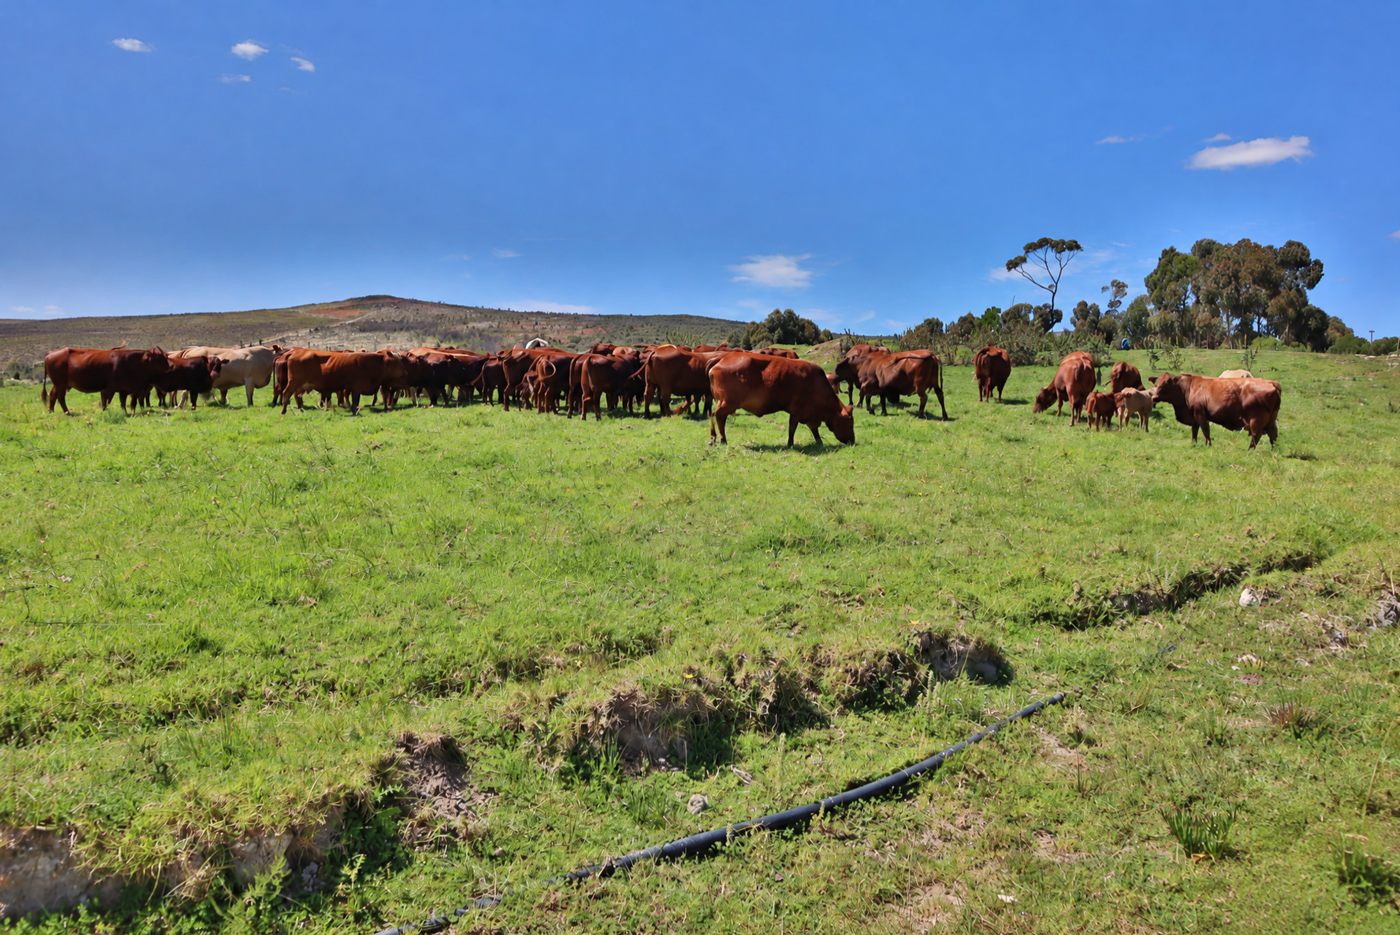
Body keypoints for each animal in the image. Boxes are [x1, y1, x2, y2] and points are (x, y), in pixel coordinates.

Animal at [41, 346, 171, 414]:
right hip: (60, 384)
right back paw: (67, 412)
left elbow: (123, 403)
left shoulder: (124, 390)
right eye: (159, 358)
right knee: (60, 397)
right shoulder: (109, 389)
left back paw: (52, 411)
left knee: (53, 396)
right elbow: (105, 402)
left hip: (59, 384)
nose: (170, 366)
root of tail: (49, 355)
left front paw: (125, 413)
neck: (131, 362)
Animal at [708, 352, 855, 447]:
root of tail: (724, 357)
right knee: (718, 416)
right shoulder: (797, 411)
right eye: (850, 423)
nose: (852, 441)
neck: (816, 384)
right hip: (728, 403)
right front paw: (790, 444)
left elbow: (814, 430)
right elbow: (792, 428)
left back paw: (713, 438)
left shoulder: (809, 415)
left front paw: (819, 442)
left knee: (713, 415)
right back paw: (722, 439)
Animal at [1150, 372, 1281, 447]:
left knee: (1256, 436)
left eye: (1166, 383)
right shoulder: (1194, 416)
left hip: (1255, 420)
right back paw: (1273, 450)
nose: (1154, 397)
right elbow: (1194, 431)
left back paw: (1250, 451)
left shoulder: (1200, 414)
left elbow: (1205, 431)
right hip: (1271, 420)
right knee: (1273, 435)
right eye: (1156, 384)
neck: (1187, 388)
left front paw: (1208, 445)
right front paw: (1194, 444)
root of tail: (1271, 382)